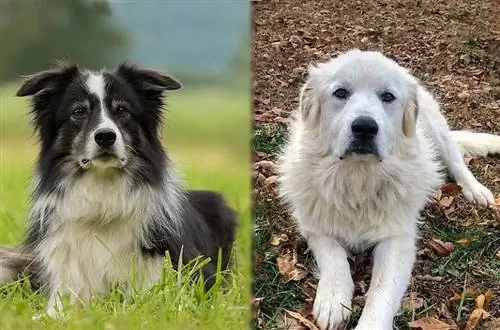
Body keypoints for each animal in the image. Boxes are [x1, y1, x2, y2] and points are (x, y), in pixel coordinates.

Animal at [278, 49, 500, 330]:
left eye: (387, 97)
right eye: (340, 93)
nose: (364, 127)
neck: (358, 179)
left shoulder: (397, 240)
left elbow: (381, 293)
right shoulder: (314, 226)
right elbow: (334, 257)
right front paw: (332, 300)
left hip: (437, 131)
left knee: (457, 162)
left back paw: (476, 190)